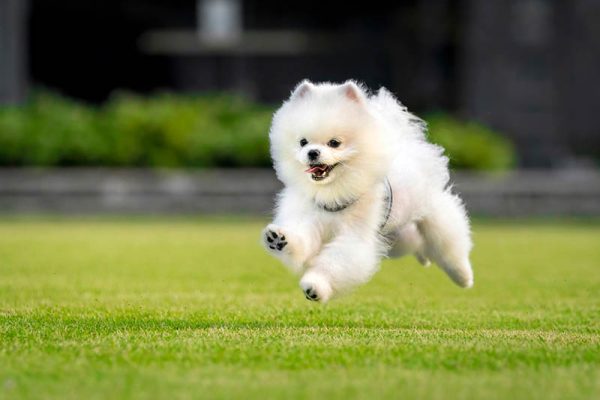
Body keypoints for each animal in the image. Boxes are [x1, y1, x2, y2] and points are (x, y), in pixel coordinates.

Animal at [262, 79, 474, 302]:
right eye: (303, 142)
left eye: (334, 143)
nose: (312, 152)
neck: (334, 192)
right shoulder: (311, 219)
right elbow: (301, 238)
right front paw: (279, 240)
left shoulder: (353, 236)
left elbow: (336, 262)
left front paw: (316, 286)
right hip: (398, 237)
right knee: (416, 243)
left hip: (435, 217)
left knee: (450, 245)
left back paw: (464, 277)